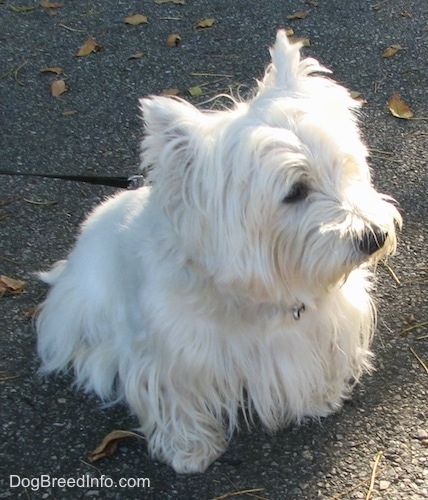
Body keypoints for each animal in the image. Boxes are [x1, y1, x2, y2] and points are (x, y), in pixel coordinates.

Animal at [37, 31, 402, 472]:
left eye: (344, 166)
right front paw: (190, 451)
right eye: (295, 191)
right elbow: (176, 400)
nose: (374, 236)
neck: (254, 300)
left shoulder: (317, 330)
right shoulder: (170, 356)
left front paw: (321, 398)